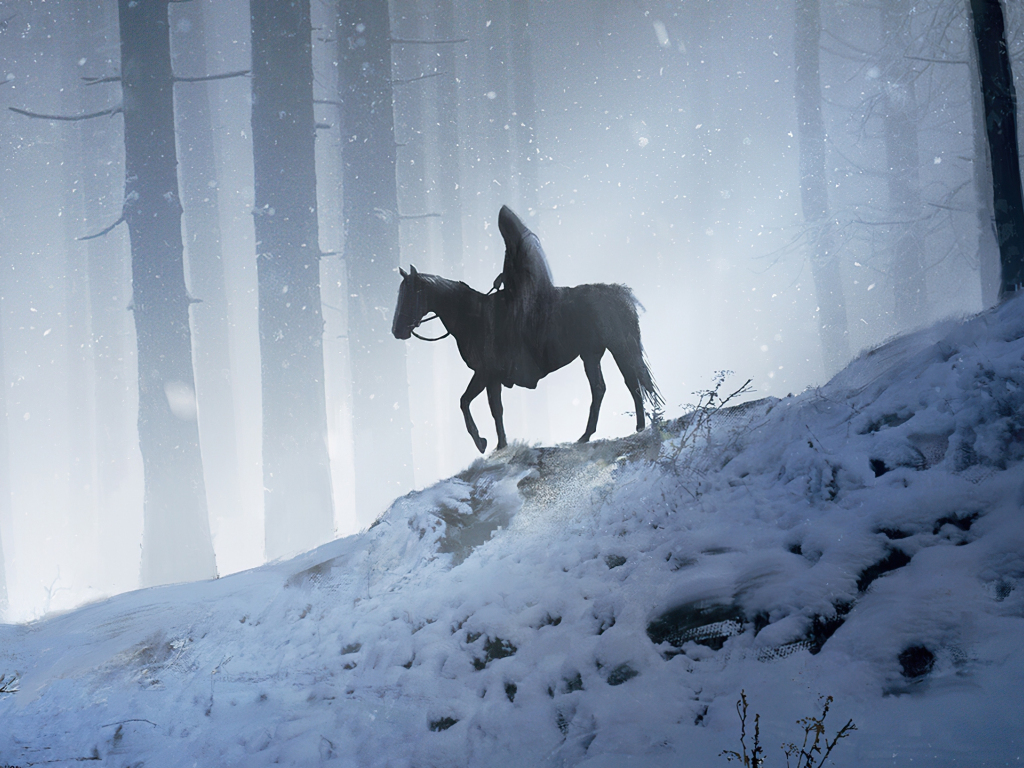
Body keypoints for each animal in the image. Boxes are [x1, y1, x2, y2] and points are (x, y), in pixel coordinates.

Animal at [391, 265, 662, 453]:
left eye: (411, 295)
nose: (397, 331)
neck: (474, 317)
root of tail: (618, 292)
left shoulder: (486, 374)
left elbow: (476, 404)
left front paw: (486, 442)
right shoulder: (488, 376)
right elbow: (484, 406)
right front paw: (493, 443)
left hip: (619, 349)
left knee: (631, 383)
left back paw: (638, 427)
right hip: (591, 355)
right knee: (601, 388)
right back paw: (588, 435)